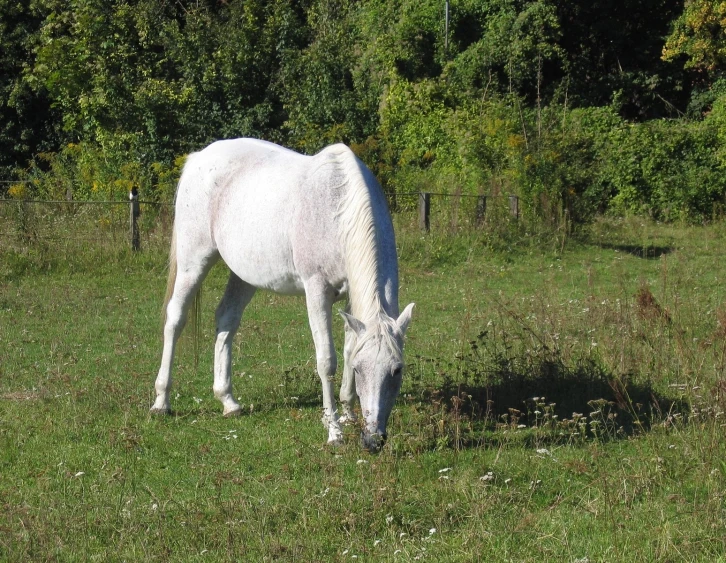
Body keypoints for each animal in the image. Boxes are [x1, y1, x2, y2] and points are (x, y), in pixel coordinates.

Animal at [152, 139, 416, 452]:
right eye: (360, 370)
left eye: (397, 370)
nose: (373, 440)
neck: (338, 209)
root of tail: (198, 158)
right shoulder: (317, 291)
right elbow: (327, 360)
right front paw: (334, 431)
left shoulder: (353, 300)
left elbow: (350, 347)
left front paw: (349, 415)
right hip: (194, 262)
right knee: (175, 320)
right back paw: (161, 401)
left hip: (244, 275)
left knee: (226, 319)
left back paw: (228, 400)